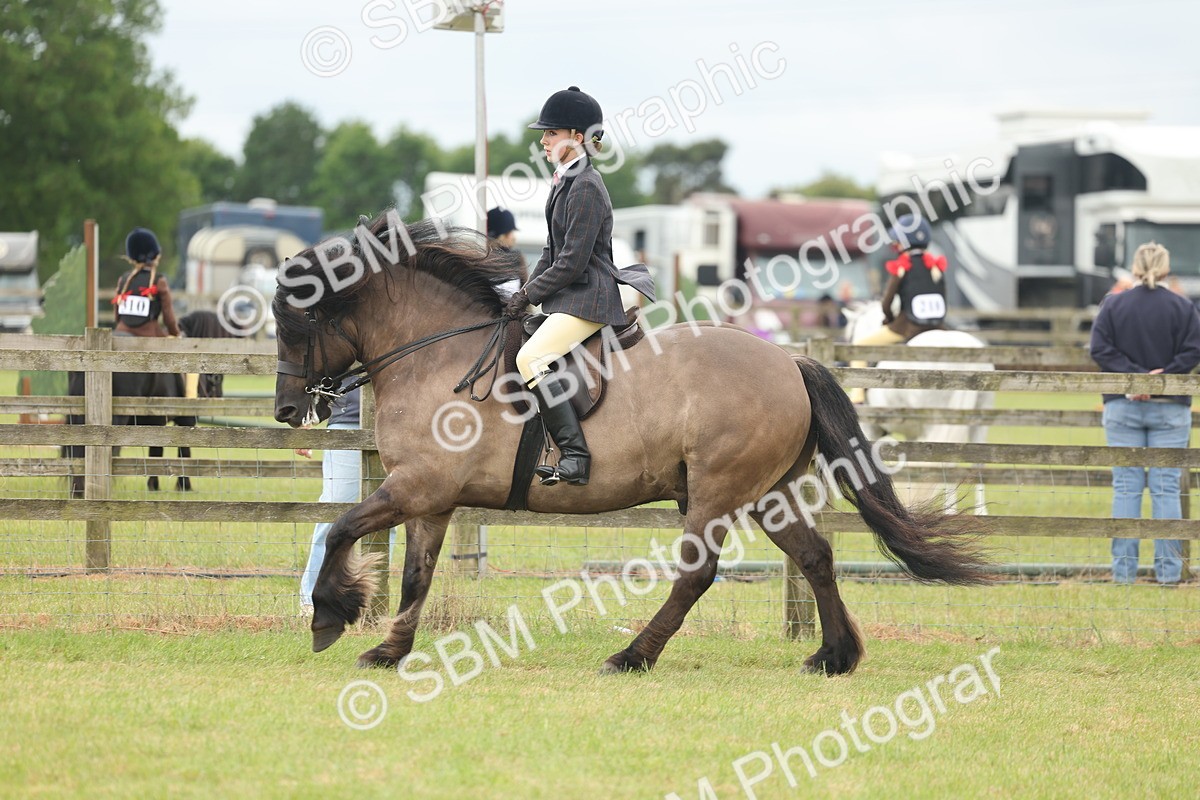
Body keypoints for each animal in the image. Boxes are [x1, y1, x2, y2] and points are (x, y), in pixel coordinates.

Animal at [842, 300, 994, 513]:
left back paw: (950, 511)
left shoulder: (869, 428)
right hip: (979, 424)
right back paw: (980, 511)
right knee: (979, 463)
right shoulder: (912, 436)